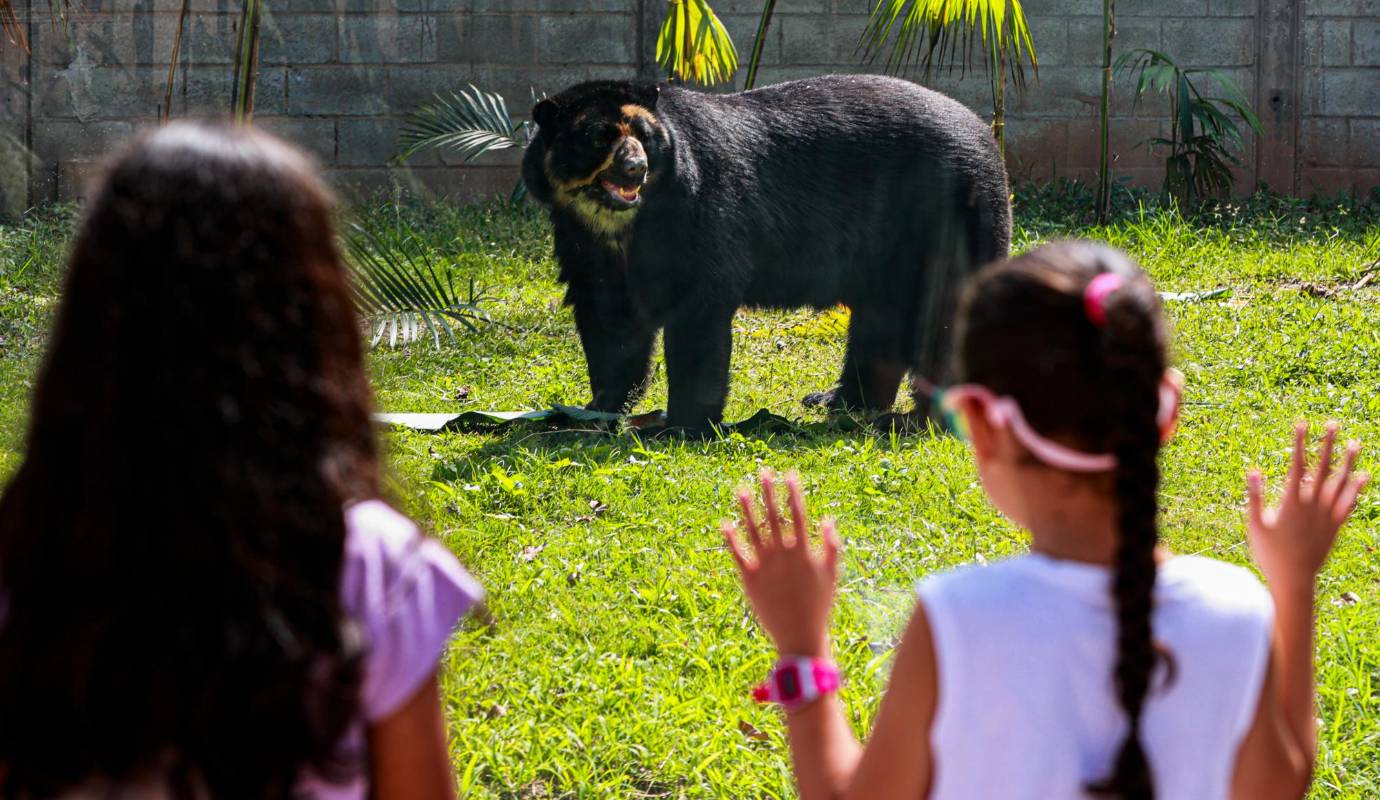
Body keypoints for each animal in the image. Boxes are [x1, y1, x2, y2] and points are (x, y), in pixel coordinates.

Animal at [521, 74, 1011, 432]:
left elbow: (700, 308)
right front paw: (595, 407)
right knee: (880, 324)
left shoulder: (700, 209)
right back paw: (841, 402)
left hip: (947, 219)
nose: (634, 168)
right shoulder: (582, 240)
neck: (624, 223)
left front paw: (681, 424)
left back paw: (924, 416)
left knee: (942, 318)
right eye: (597, 137)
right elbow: (610, 320)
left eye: (644, 135)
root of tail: (988, 138)